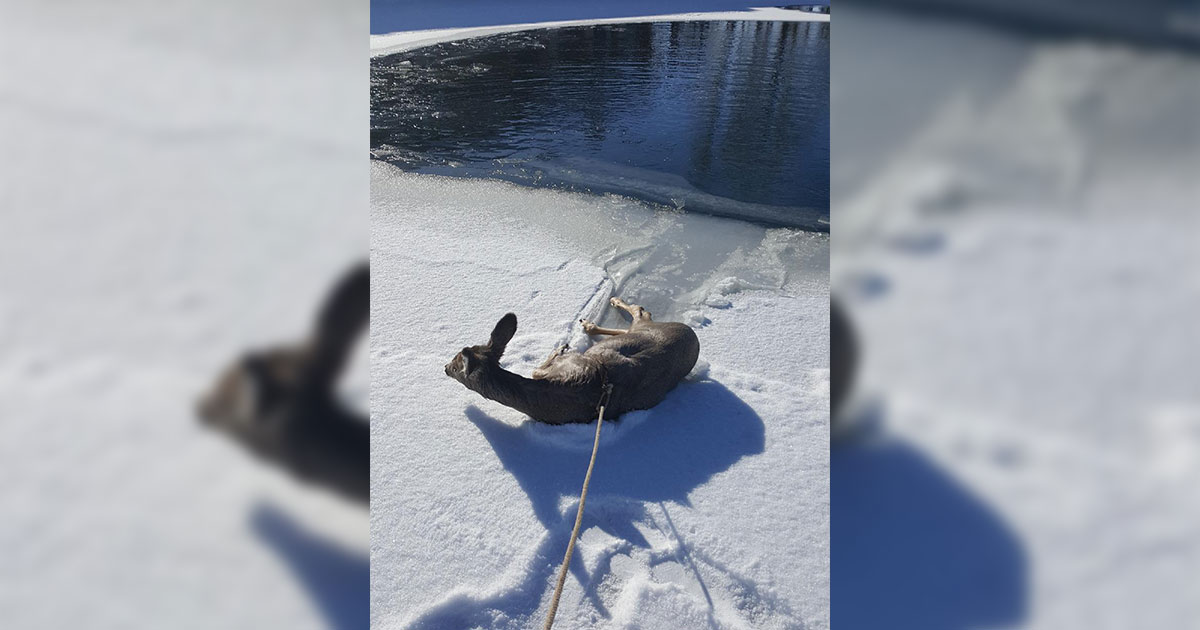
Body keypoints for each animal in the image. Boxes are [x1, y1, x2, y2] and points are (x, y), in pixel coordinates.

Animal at [445, 296, 700, 424]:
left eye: (456, 362)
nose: (445, 367)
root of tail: (693, 336)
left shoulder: (567, 363)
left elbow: (537, 368)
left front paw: (558, 349)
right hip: (637, 332)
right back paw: (590, 324)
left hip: (644, 329)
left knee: (640, 311)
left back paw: (611, 303)